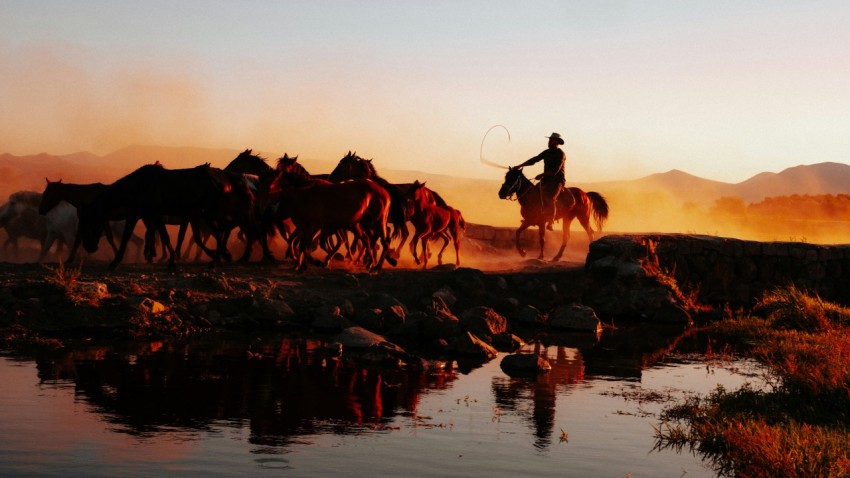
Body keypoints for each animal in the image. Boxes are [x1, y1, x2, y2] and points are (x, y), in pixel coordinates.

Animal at [77, 163, 234, 268]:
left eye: (89, 222)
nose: (89, 247)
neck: (136, 186)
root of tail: (224, 180)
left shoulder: (155, 215)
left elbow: (164, 236)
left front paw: (171, 260)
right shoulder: (136, 215)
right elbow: (127, 236)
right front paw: (116, 261)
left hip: (210, 212)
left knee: (221, 229)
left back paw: (218, 258)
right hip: (206, 213)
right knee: (220, 229)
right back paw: (219, 256)